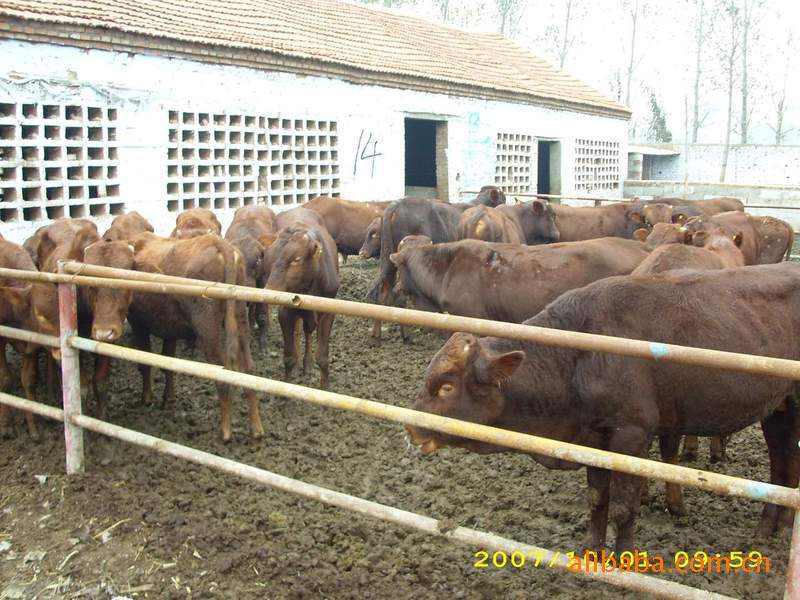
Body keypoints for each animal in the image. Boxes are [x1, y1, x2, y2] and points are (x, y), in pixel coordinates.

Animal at [126, 233, 260, 440]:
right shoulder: (169, 329)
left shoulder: (138, 324)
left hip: (208, 330)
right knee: (249, 369)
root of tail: (219, 243)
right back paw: (256, 427)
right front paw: (168, 399)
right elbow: (168, 364)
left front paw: (147, 398)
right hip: (240, 321)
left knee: (223, 375)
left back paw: (225, 431)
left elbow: (145, 363)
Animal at [262, 209, 338, 386]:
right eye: (271, 256)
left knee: (307, 331)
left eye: (297, 259)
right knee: (298, 331)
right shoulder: (285, 311)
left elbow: (322, 357)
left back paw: (307, 365)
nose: (269, 290)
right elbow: (289, 357)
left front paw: (324, 387)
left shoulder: (328, 313)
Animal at [410, 264, 800, 552]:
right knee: (781, 463)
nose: (411, 428)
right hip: (779, 409)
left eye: (446, 387)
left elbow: (625, 508)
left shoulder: (632, 435)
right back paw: (769, 527)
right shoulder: (594, 439)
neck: (579, 357)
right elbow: (597, 500)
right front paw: (592, 553)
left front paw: (624, 561)